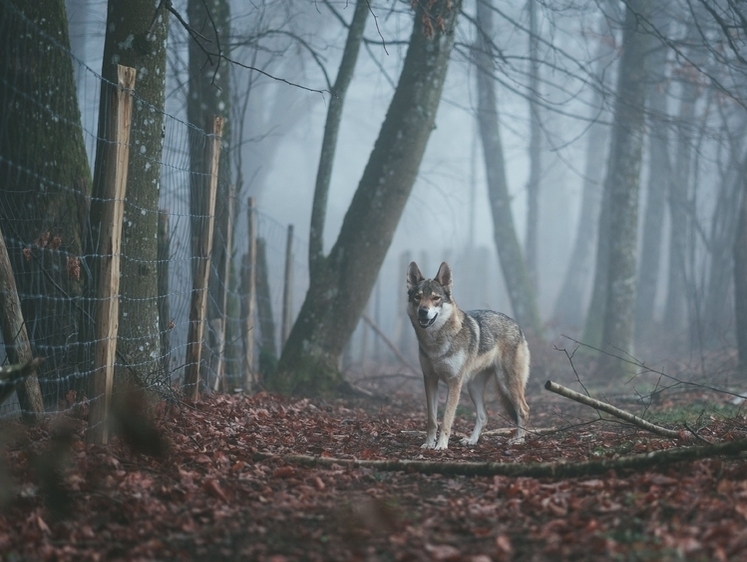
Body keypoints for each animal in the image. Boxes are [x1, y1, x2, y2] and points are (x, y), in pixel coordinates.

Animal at [410, 260, 532, 448]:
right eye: (418, 297)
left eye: (436, 298)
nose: (423, 311)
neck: (435, 342)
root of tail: (516, 325)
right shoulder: (430, 379)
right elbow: (432, 419)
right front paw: (429, 444)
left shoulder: (454, 383)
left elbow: (446, 419)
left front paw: (441, 446)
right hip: (473, 387)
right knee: (483, 416)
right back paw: (472, 440)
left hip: (506, 383)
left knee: (524, 410)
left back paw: (518, 439)